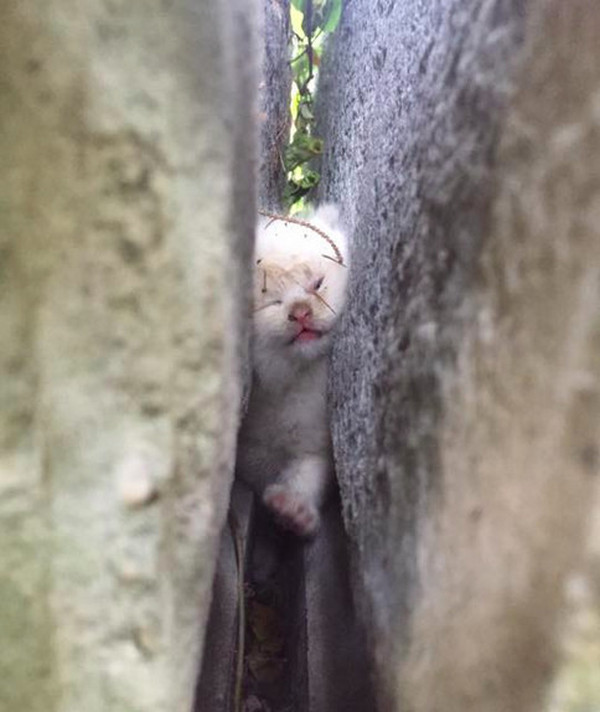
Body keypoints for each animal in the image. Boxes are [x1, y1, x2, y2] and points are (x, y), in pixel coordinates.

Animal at [237, 206, 350, 540]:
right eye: (272, 302)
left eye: (317, 283)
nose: (300, 312)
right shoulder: (250, 452)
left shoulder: (316, 443)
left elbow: (308, 472)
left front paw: (295, 508)